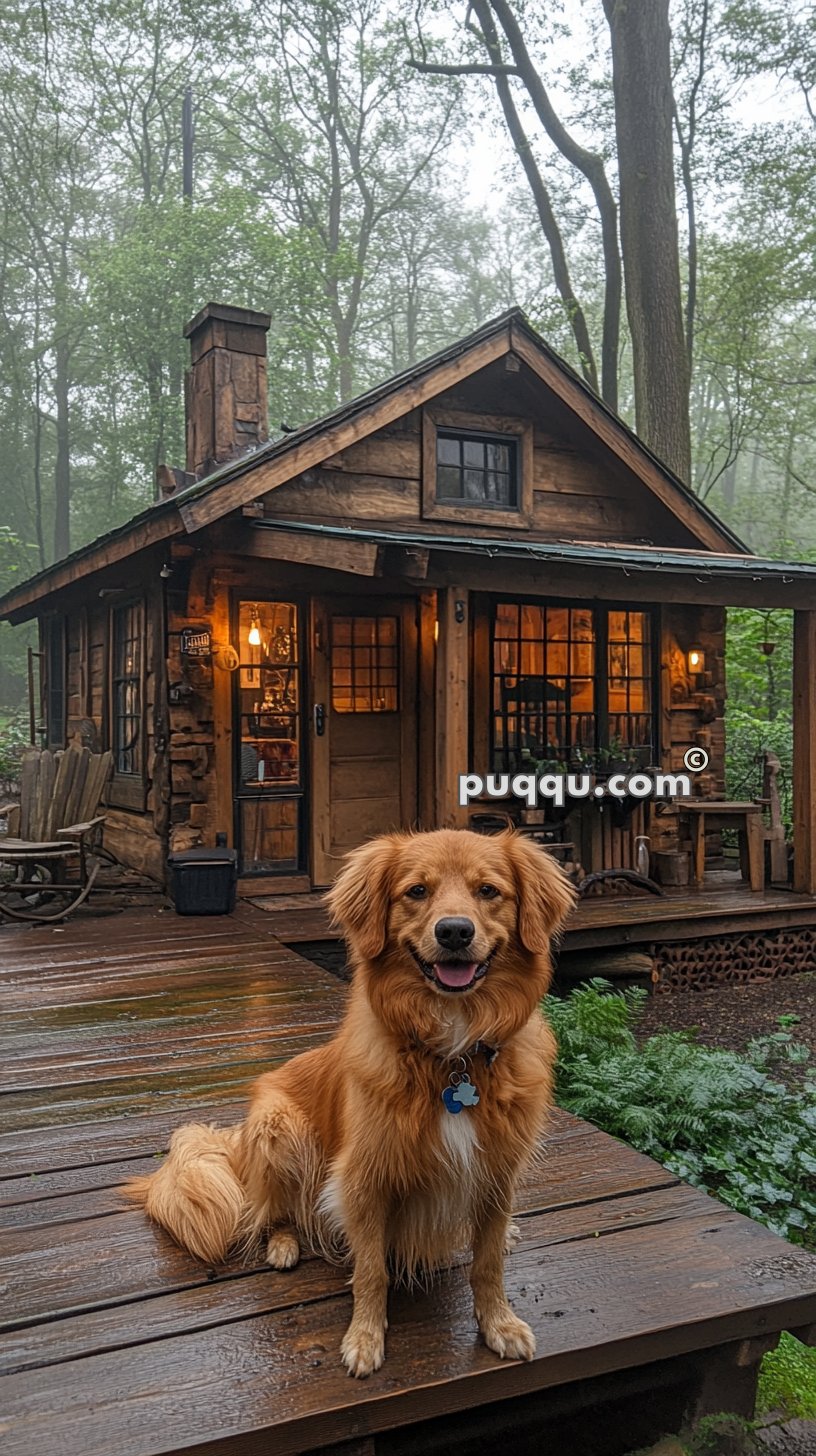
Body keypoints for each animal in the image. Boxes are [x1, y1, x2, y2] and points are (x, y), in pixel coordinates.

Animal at [126, 832, 574, 1374]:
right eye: (416, 891)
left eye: (488, 891)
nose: (454, 932)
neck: (453, 1058)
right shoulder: (364, 1178)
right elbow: (372, 1270)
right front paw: (365, 1338)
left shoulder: (497, 1172)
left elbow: (488, 1263)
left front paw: (499, 1323)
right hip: (278, 1124)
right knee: (272, 1210)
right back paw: (282, 1244)